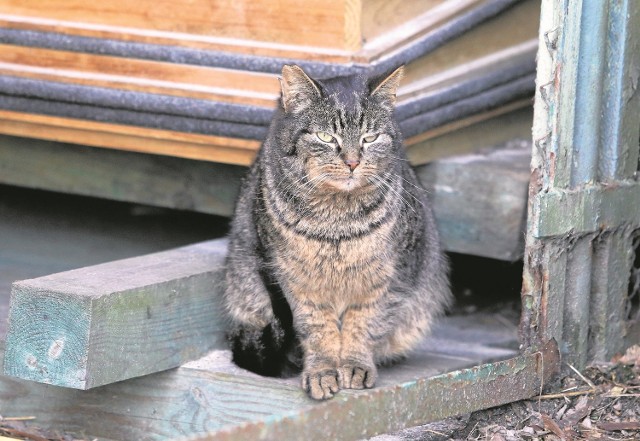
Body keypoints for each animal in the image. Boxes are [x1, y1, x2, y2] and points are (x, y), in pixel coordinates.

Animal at [222, 64, 452, 398]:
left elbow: (364, 323)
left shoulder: (388, 279)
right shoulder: (295, 283)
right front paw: (322, 371)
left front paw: (355, 365)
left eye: (370, 137)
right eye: (325, 136)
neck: (337, 224)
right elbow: (317, 329)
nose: (353, 162)